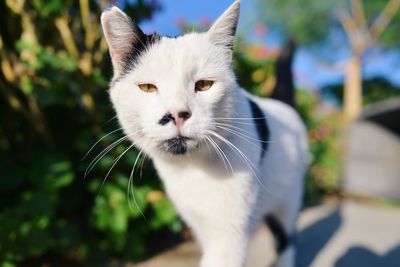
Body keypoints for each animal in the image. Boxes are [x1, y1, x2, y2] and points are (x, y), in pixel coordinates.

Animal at [101, 1, 308, 266]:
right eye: (147, 87)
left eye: (204, 85)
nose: (177, 113)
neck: (192, 168)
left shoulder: (229, 236)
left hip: (287, 201)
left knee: (286, 240)